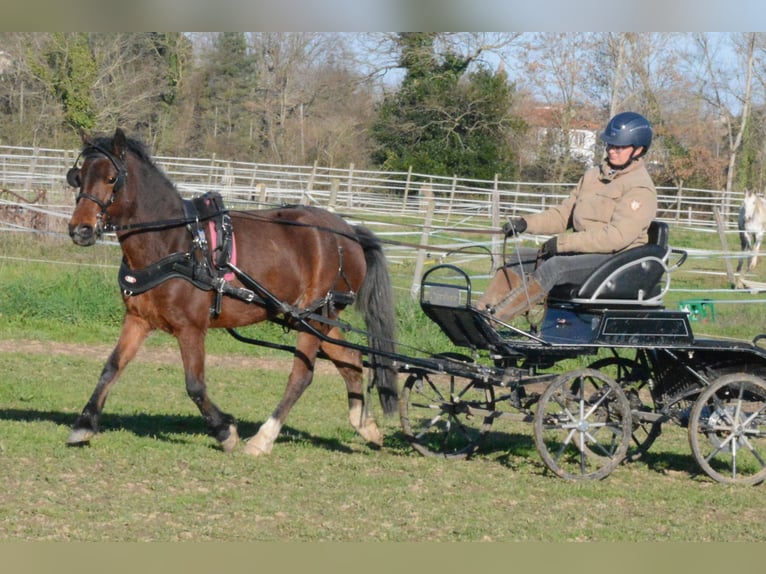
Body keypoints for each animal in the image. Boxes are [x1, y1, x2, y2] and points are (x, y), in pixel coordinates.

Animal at [66, 128, 398, 456]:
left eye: (112, 178)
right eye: (78, 177)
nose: (80, 229)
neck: (176, 242)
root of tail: (349, 232)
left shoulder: (191, 328)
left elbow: (194, 384)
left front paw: (225, 431)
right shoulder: (138, 319)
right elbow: (112, 367)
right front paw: (84, 424)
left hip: (313, 317)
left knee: (301, 376)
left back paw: (264, 438)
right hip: (315, 318)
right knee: (350, 361)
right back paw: (366, 427)